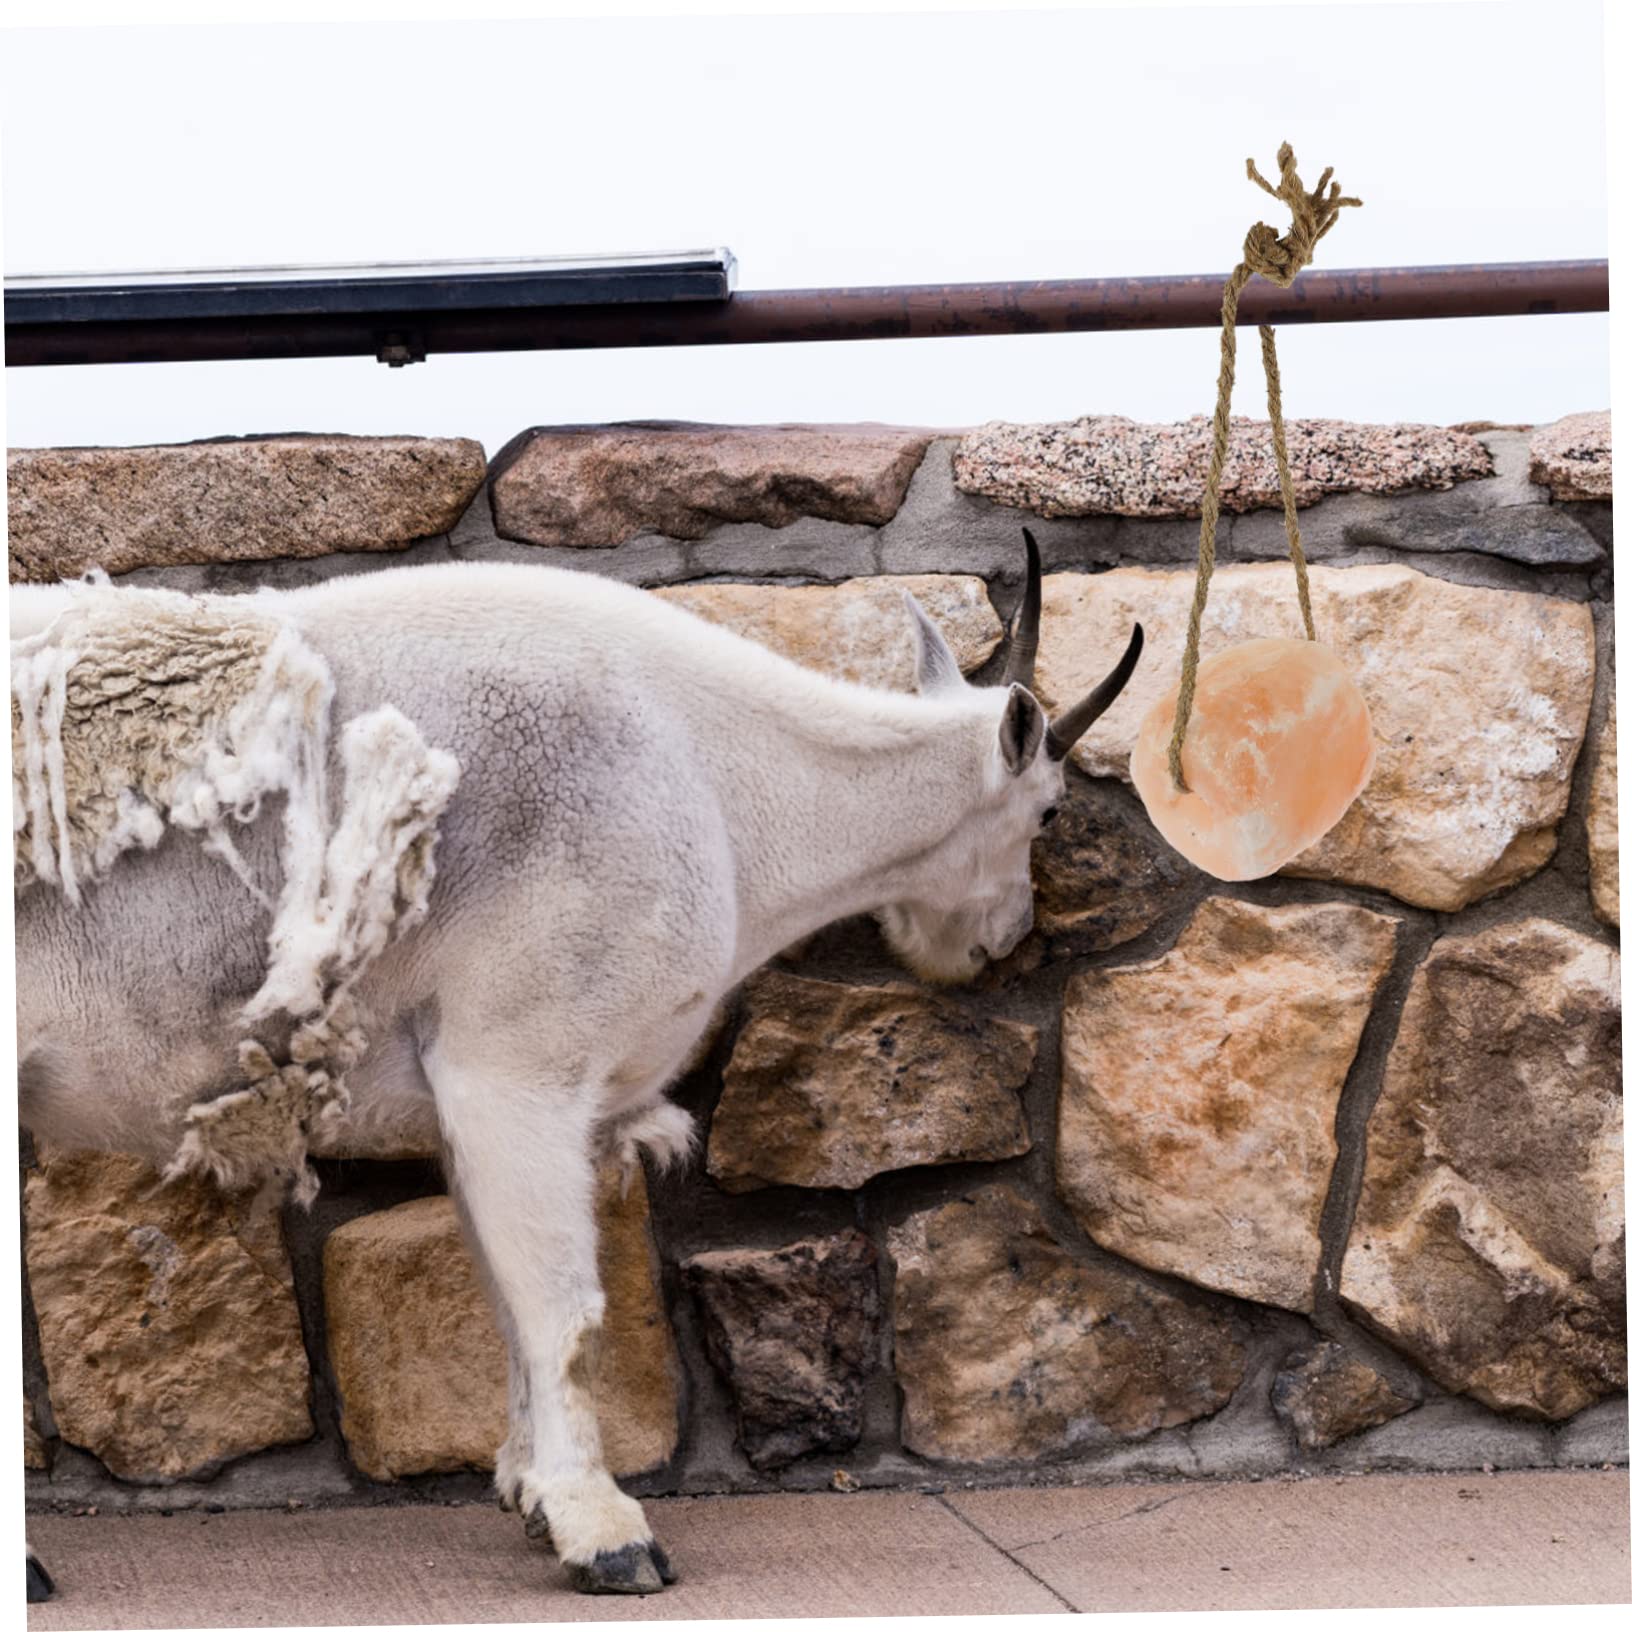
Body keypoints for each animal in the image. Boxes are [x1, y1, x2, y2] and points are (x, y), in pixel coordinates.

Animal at [14, 536, 1140, 1599]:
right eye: (1046, 812)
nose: (1003, 943)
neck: (725, 783)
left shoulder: (468, 1095)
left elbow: (509, 1303)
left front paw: (527, 1490)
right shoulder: (520, 1063)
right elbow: (564, 1311)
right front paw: (604, 1533)